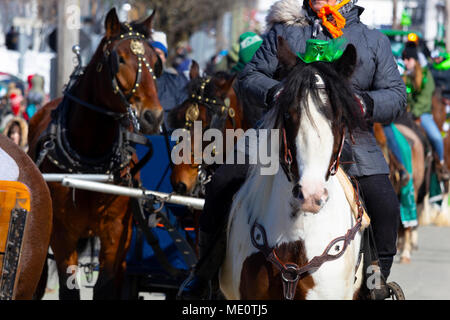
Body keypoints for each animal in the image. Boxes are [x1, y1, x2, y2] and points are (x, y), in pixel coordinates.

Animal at [27, 10, 163, 300]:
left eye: (155, 62)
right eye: (119, 59)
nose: (153, 116)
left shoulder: (117, 233)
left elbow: (107, 287)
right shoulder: (63, 234)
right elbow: (68, 287)